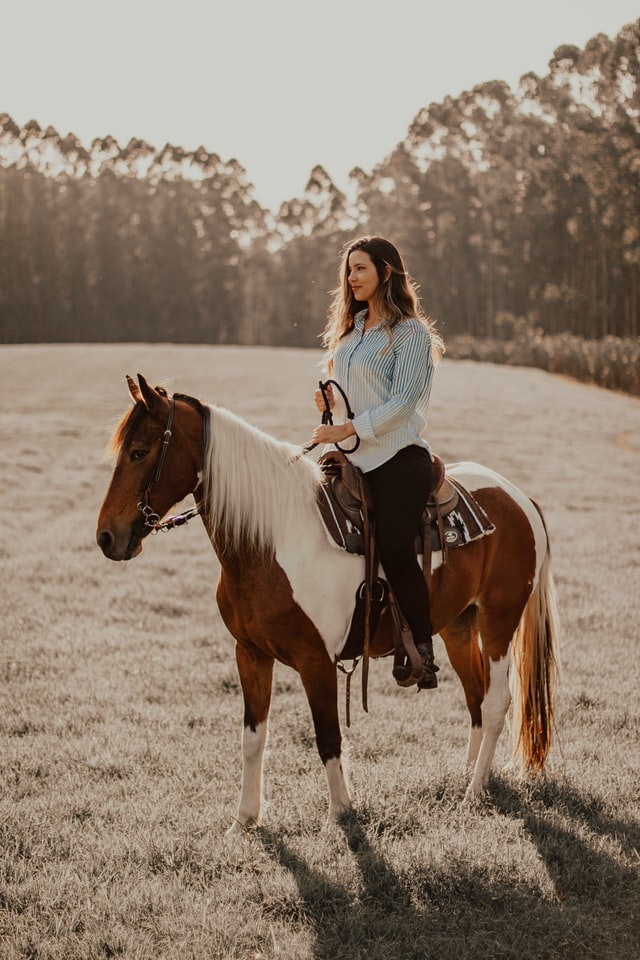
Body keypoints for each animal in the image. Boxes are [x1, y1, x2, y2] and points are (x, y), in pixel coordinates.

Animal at [96, 376, 560, 832]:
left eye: (139, 452)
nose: (106, 537)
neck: (272, 539)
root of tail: (520, 498)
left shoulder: (315, 660)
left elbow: (328, 737)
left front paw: (341, 813)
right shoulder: (250, 654)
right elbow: (253, 738)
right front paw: (245, 819)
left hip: (499, 620)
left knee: (496, 703)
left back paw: (473, 792)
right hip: (459, 626)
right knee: (475, 697)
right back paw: (468, 775)